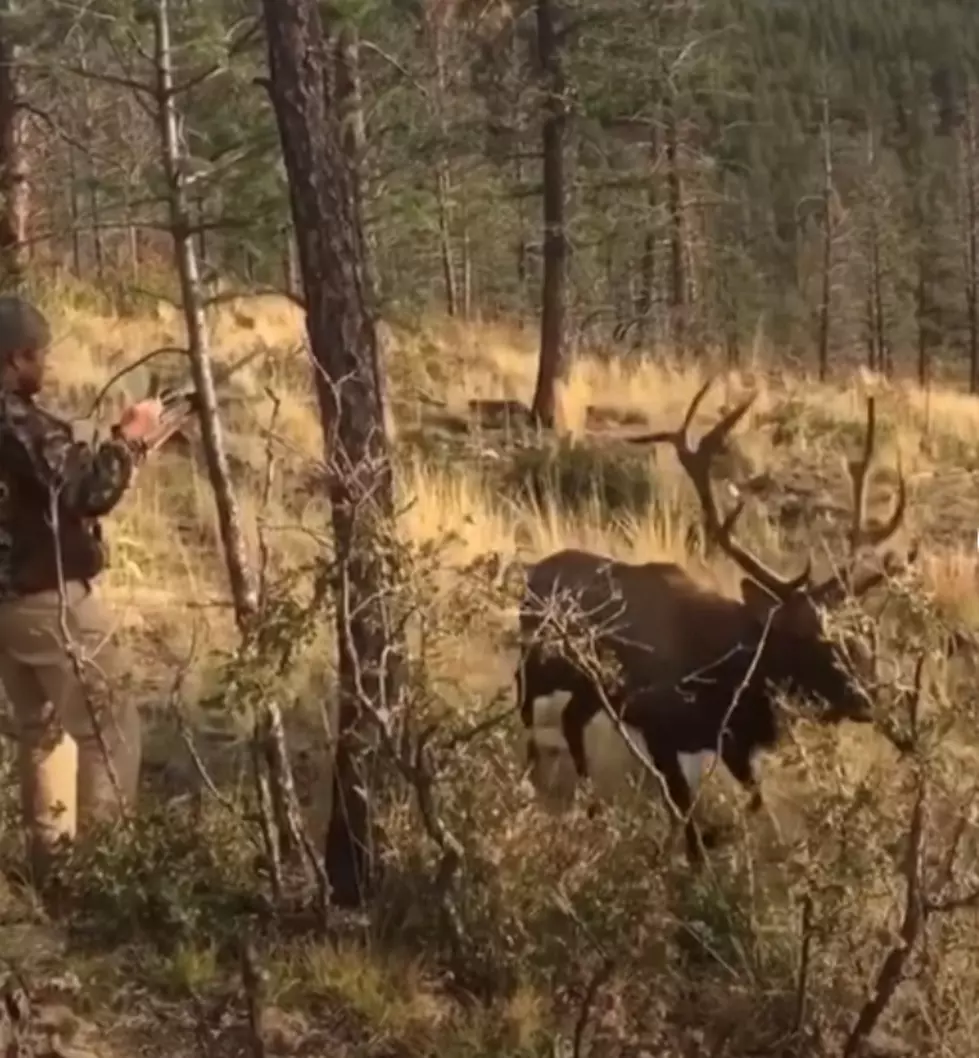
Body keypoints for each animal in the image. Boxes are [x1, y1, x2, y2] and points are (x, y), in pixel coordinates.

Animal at [516, 380, 914, 859]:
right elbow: (686, 815)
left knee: (570, 719)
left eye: (854, 639)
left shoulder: (732, 745)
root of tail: (531, 573)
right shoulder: (659, 729)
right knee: (525, 697)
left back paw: (590, 799)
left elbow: (756, 803)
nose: (867, 698)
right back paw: (530, 774)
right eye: (811, 642)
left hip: (589, 688)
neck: (724, 681)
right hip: (543, 658)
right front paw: (699, 859)